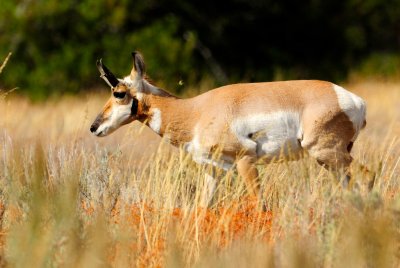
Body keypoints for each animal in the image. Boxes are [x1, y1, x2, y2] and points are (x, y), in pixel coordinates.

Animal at [90, 52, 368, 206]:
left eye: (119, 93)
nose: (94, 127)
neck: (196, 111)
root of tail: (353, 99)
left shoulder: (245, 161)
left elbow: (260, 204)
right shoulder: (213, 169)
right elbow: (204, 206)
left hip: (326, 153)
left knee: (366, 175)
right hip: (331, 160)